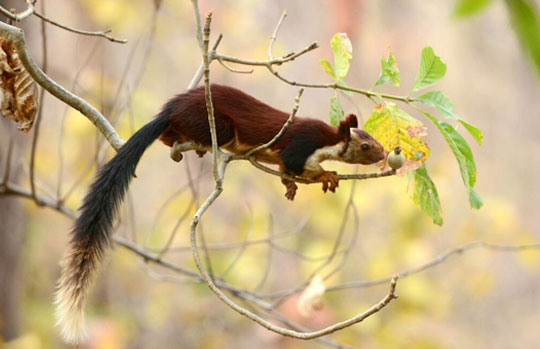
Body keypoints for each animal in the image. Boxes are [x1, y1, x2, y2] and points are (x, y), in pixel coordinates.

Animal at [53, 84, 384, 342]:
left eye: (375, 141)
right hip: (218, 126)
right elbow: (296, 163)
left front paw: (291, 185)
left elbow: (285, 171)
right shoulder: (301, 144)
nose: (384, 154)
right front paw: (327, 176)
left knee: (166, 137)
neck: (328, 141)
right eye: (366, 146)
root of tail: (169, 112)